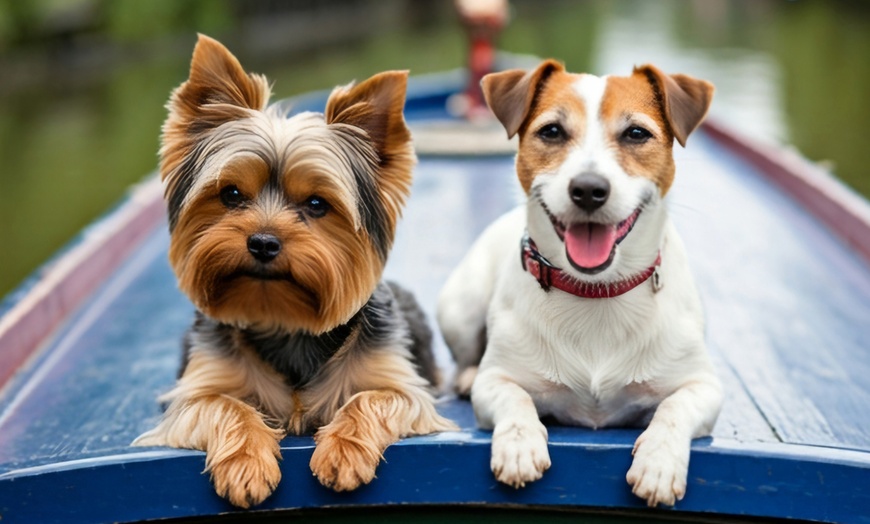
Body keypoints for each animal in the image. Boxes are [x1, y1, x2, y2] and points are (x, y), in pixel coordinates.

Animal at [440, 61, 724, 508]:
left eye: (636, 133)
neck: (597, 291)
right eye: (552, 131)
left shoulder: (703, 387)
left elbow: (673, 410)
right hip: (459, 309)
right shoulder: (496, 381)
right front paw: (519, 445)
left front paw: (659, 463)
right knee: (467, 356)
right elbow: (514, 397)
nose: (589, 189)